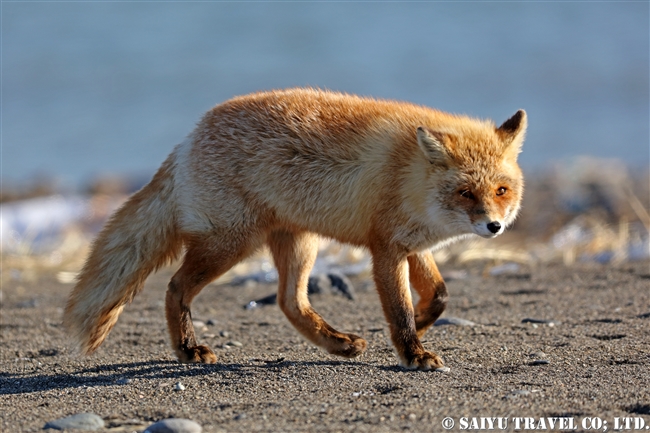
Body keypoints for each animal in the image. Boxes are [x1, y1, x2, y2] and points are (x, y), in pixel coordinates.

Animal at [63, 88, 524, 372]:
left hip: (300, 244)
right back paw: (188, 348)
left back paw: (338, 343)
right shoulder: (386, 249)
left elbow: (439, 296)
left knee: (289, 302)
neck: (408, 175)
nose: (494, 226)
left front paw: (423, 325)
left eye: (501, 190)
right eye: (466, 192)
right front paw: (413, 351)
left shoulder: (414, 244)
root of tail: (187, 140)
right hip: (231, 243)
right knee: (176, 287)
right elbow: (399, 309)